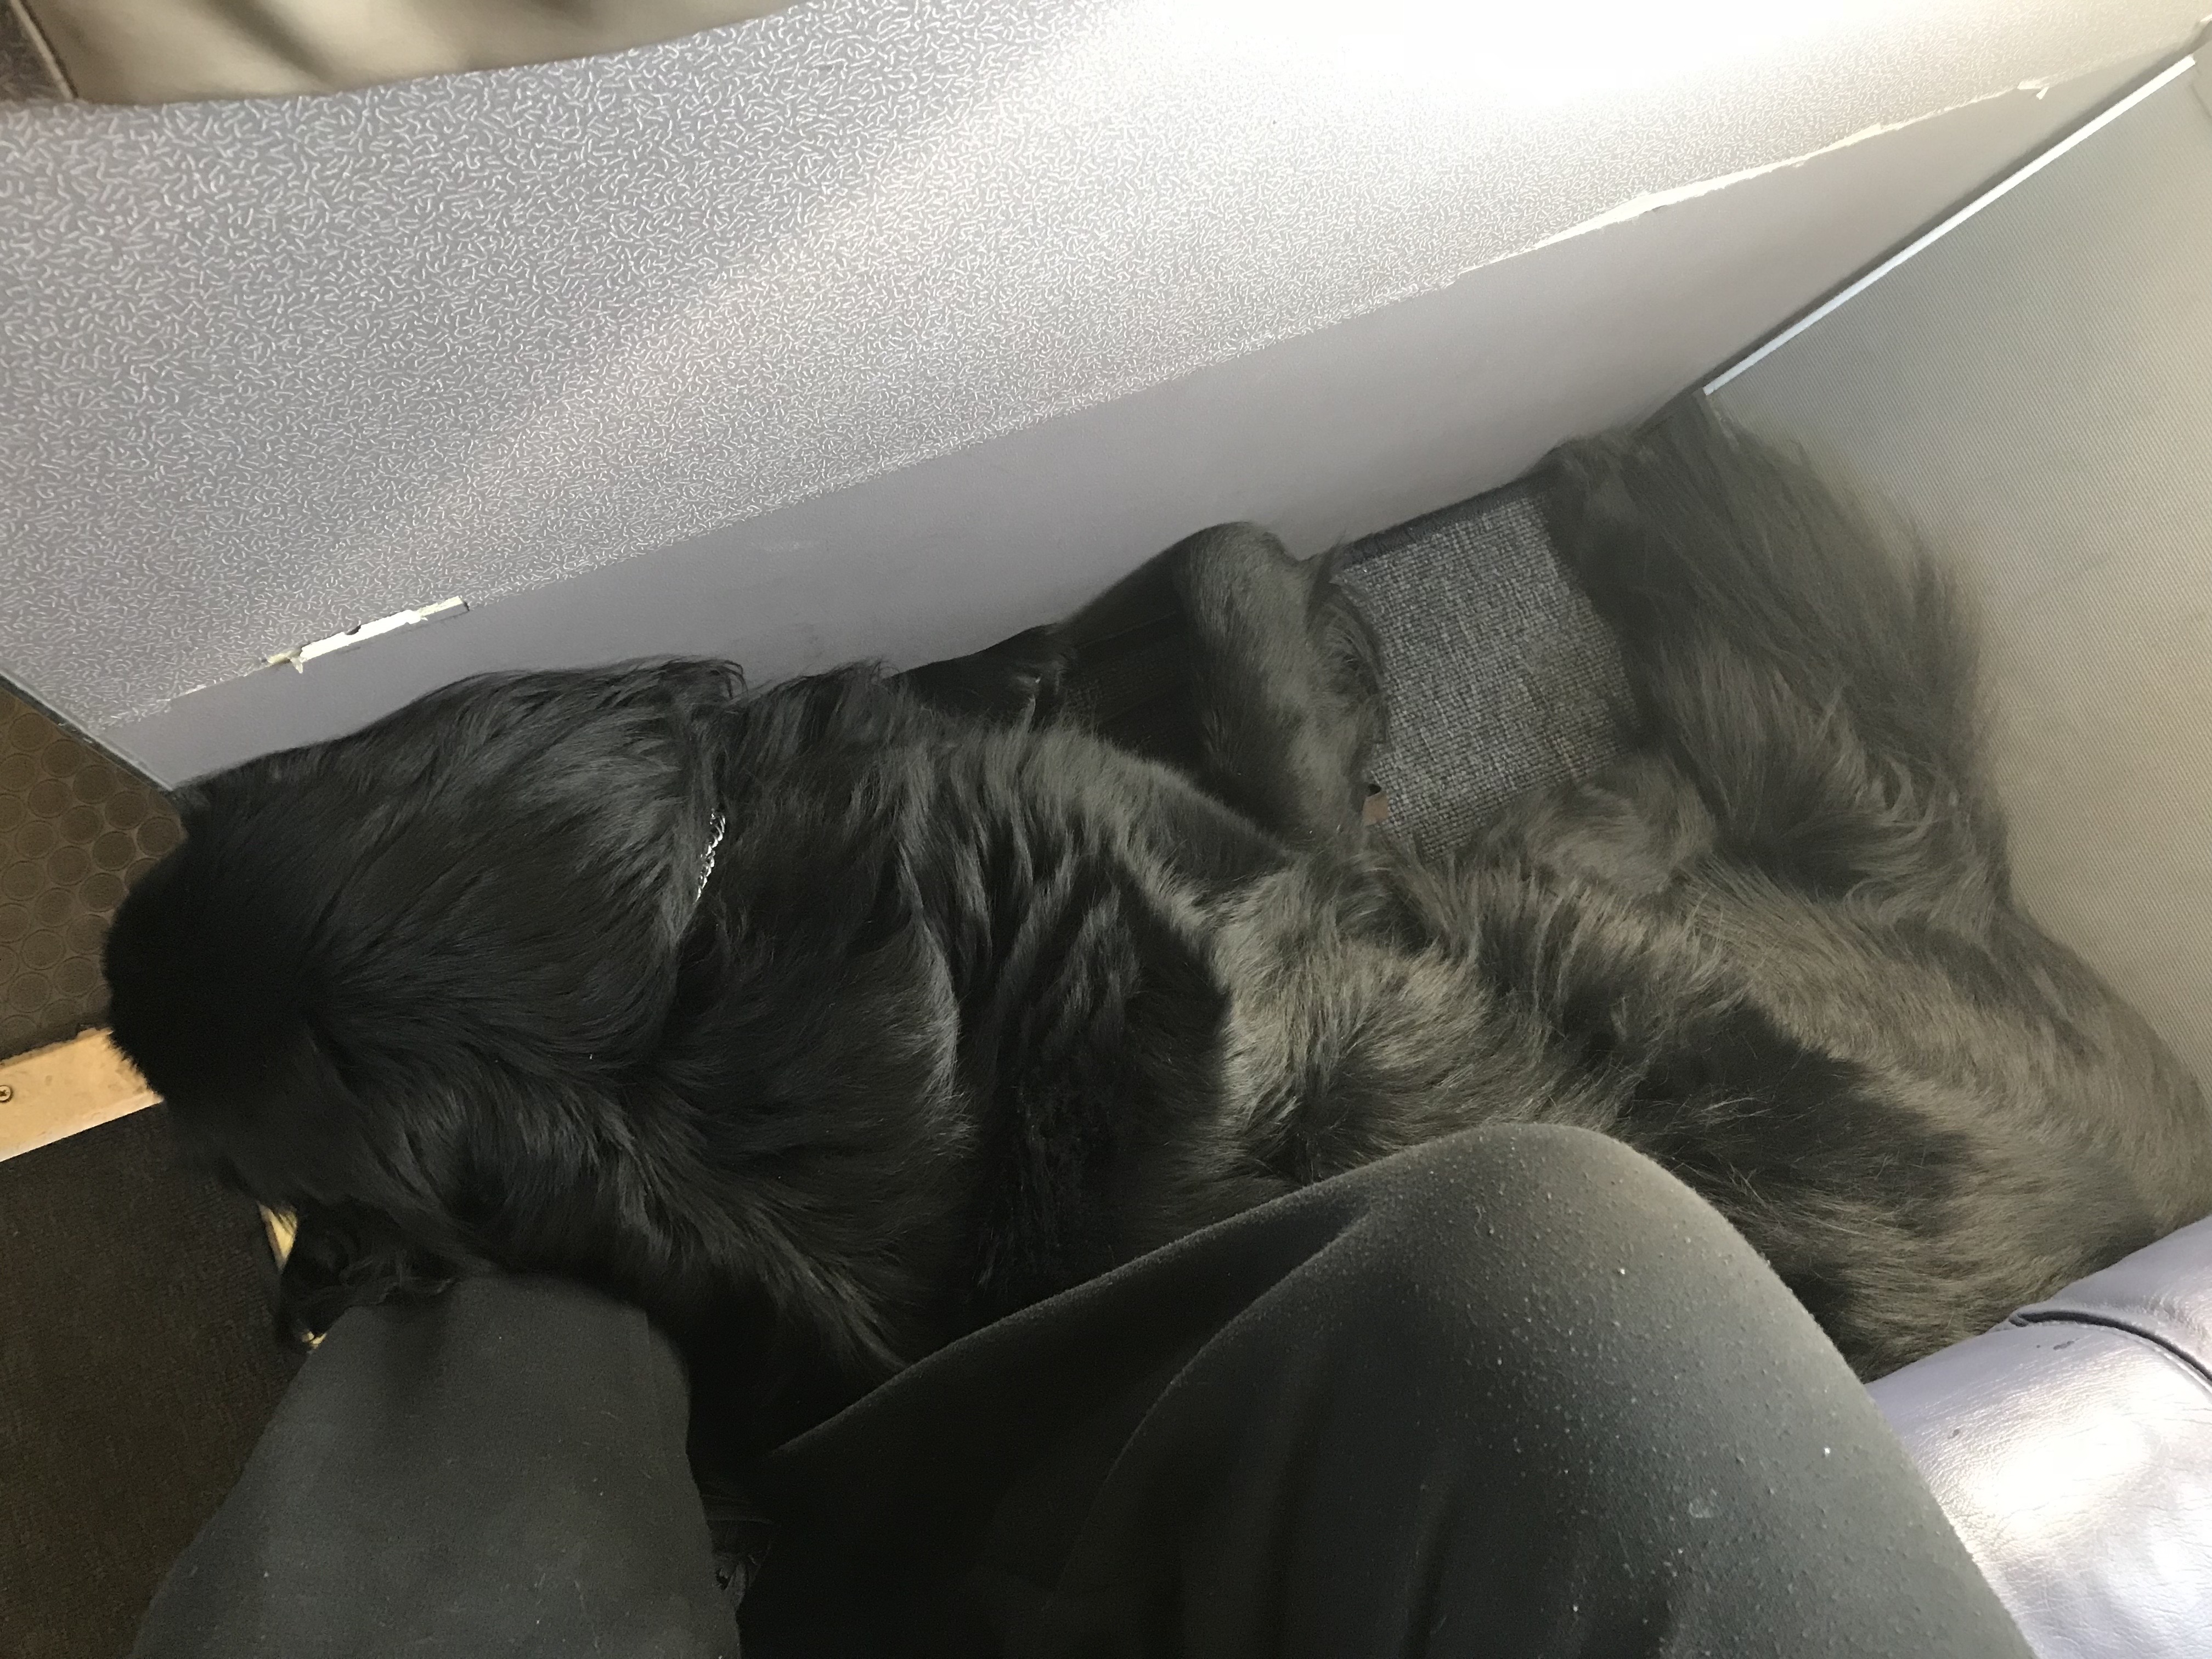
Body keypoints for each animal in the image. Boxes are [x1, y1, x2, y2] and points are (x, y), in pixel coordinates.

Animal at [108, 409, 2212, 1451]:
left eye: (240, 1167)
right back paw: (1617, 491)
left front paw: (1045, 649)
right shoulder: (1286, 849)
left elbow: (1133, 603)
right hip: (1662, 898)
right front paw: (1298, 631)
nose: (111, 959)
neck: (676, 1036)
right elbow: (1218, 567)